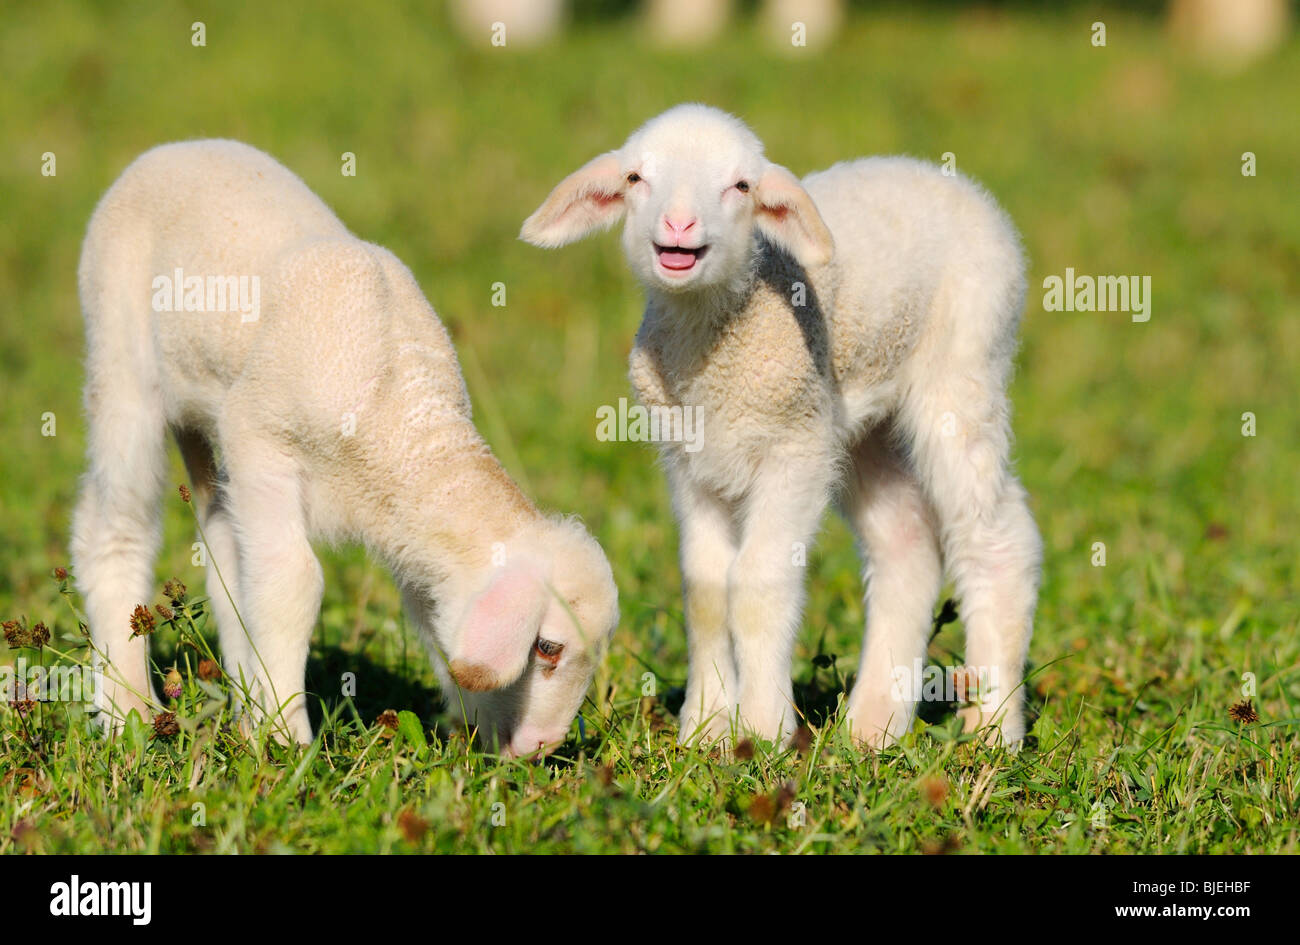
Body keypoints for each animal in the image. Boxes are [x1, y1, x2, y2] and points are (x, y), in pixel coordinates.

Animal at [71, 140, 618, 759]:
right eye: (547, 647)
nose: (540, 749)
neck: (397, 410)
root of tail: (176, 146)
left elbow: (424, 613)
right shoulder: (260, 439)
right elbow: (293, 583)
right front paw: (287, 739)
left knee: (224, 556)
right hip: (122, 365)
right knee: (116, 526)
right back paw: (127, 711)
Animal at [522, 103, 1040, 748]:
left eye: (741, 186)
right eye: (636, 178)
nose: (679, 224)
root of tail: (948, 178)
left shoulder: (794, 450)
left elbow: (757, 585)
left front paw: (763, 728)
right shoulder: (692, 461)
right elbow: (707, 590)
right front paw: (706, 726)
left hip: (963, 365)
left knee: (996, 537)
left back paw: (992, 727)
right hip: (854, 421)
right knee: (906, 544)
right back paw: (874, 724)